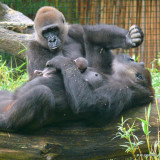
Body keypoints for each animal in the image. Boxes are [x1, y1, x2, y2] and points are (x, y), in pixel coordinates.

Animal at [0, 55, 154, 131]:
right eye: (135, 62)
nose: (132, 58)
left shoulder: (120, 91)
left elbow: (87, 103)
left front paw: (61, 61)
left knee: (42, 93)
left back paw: (6, 123)